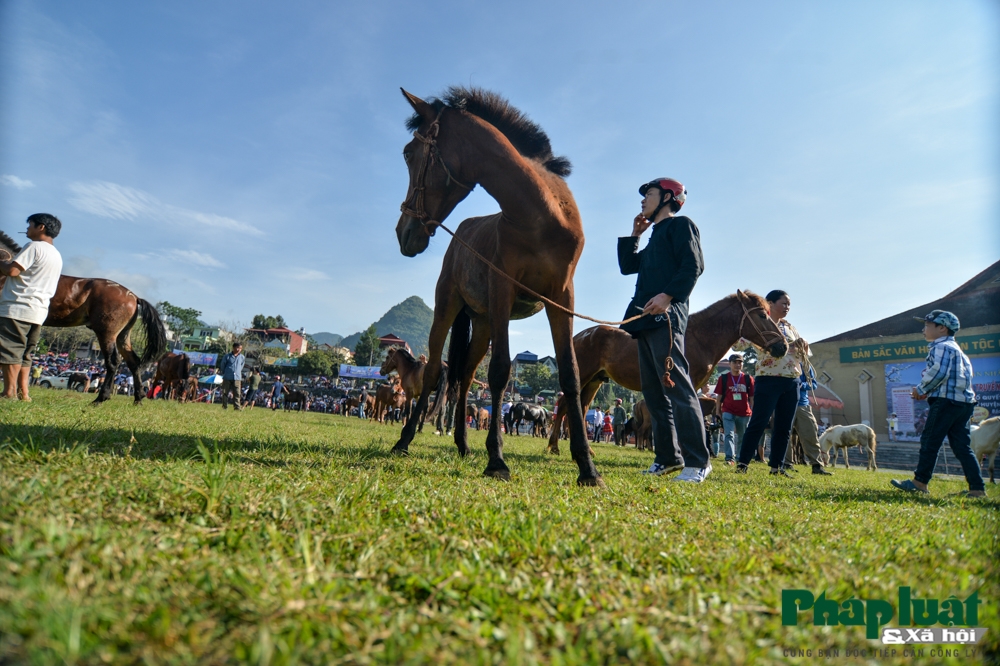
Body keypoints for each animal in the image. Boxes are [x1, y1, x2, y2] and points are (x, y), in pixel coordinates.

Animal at [0, 228, 168, 404]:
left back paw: (101, 397)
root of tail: (133, 296)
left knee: (113, 362)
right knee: (133, 362)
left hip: (106, 332)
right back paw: (138, 397)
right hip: (123, 335)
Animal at [390, 87, 596, 482]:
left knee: (466, 377)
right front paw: (497, 459)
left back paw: (462, 443)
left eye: (409, 152)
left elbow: (571, 376)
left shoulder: (562, 298)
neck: (540, 214)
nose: (403, 233)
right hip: (448, 308)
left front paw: (587, 466)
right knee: (436, 371)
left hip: (483, 323)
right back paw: (405, 439)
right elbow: (500, 370)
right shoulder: (504, 289)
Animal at [548, 290, 788, 452]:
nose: (783, 346)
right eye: (763, 316)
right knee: (564, 407)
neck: (698, 337)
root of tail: (579, 336)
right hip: (583, 376)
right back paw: (554, 446)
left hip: (594, 381)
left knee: (579, 408)